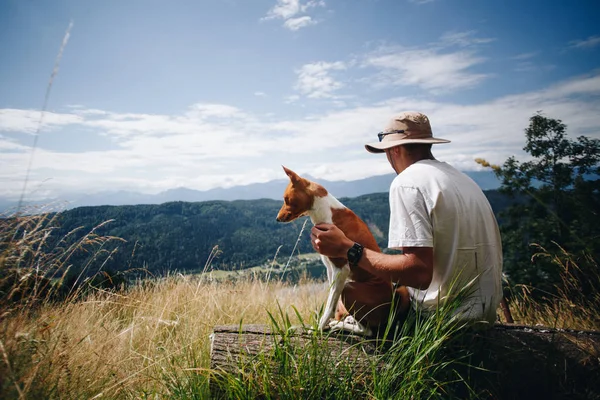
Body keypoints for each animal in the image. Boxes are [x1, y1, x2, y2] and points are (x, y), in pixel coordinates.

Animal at [276, 166, 408, 334]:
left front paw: (319, 328)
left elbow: (330, 305)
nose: (277, 218)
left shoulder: (341, 269)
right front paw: (323, 324)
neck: (327, 212)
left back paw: (341, 325)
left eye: (286, 199)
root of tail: (393, 303)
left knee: (366, 330)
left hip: (349, 288)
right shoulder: (330, 269)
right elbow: (330, 298)